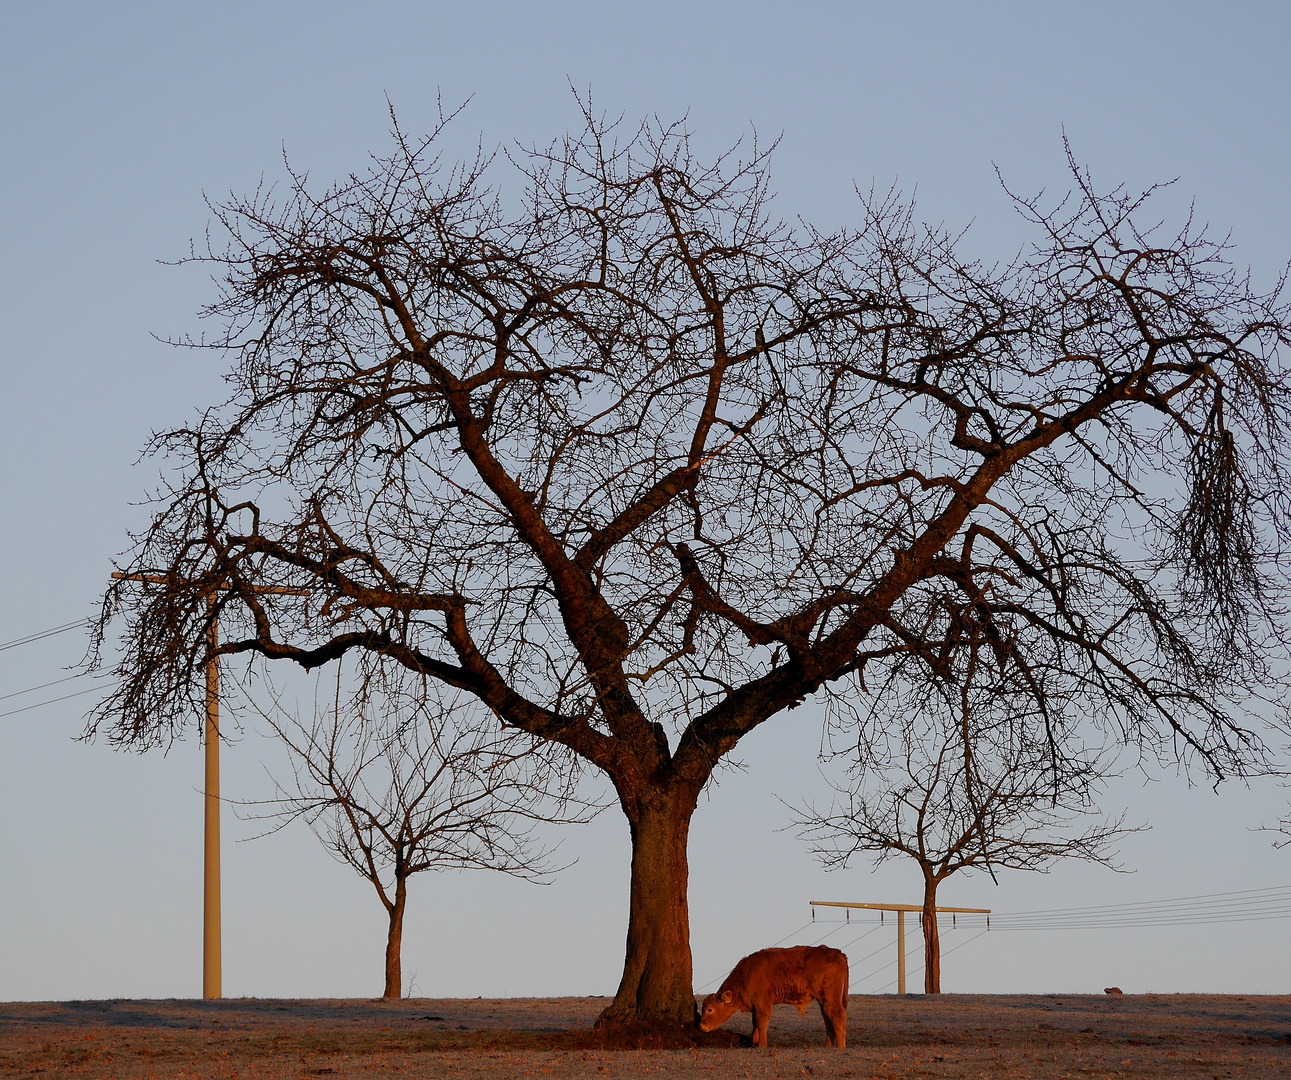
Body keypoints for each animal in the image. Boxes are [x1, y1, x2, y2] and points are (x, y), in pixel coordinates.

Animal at [697, 944, 846, 1042]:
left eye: (710, 1009)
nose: (701, 1025)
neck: (745, 976)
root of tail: (837, 953)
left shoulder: (763, 1006)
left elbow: (762, 1024)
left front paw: (761, 1045)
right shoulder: (756, 1007)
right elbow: (755, 1024)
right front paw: (754, 1042)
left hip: (830, 998)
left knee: (837, 1014)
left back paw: (840, 1046)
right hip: (823, 1000)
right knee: (827, 1017)